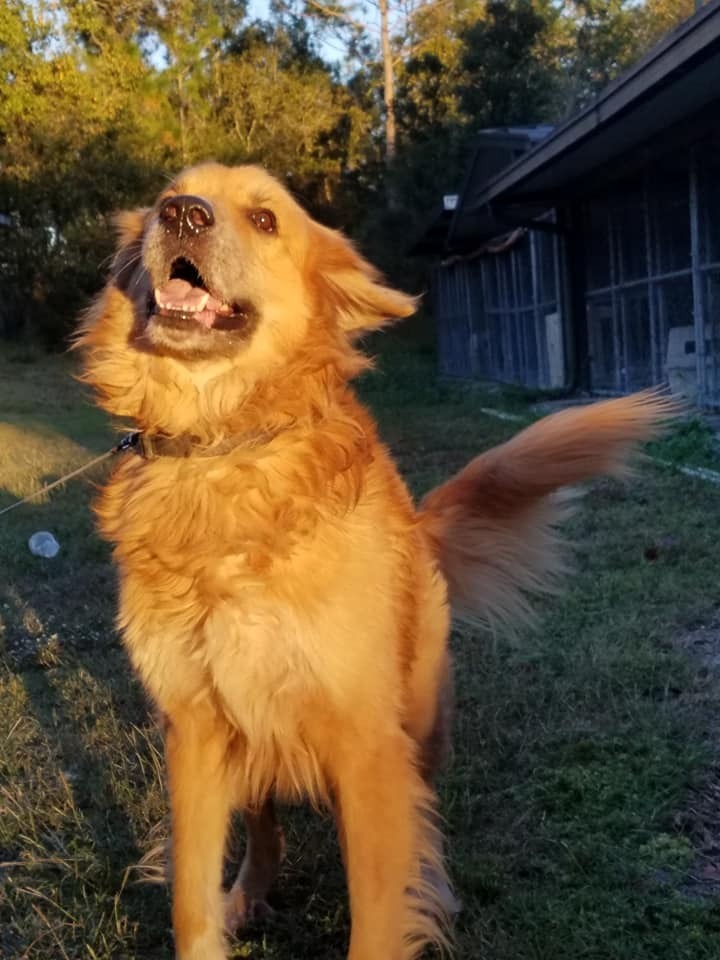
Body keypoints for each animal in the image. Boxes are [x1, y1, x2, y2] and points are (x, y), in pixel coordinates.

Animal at [77, 161, 676, 956]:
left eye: (265, 219)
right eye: (161, 203)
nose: (183, 215)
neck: (223, 449)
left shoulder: (366, 746)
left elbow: (379, 909)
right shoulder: (196, 727)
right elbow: (191, 903)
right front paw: (221, 907)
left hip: (417, 718)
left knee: (424, 816)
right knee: (265, 828)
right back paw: (251, 892)